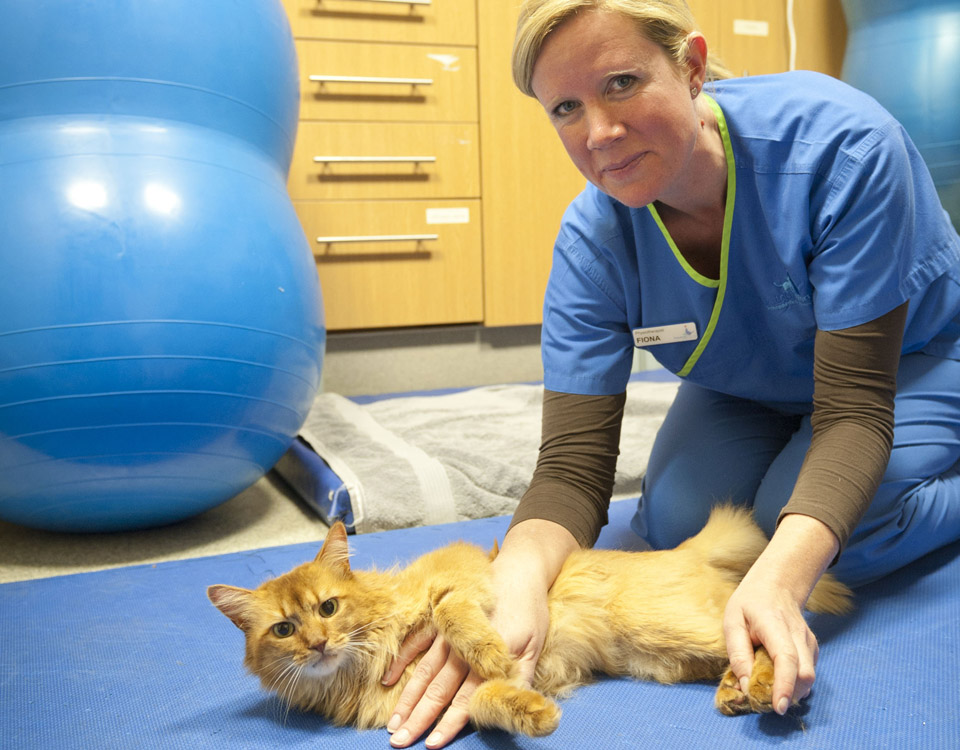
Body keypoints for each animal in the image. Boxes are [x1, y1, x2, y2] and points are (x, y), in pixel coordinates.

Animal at [208, 508, 848, 736]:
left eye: (328, 608)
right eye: (283, 631)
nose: (318, 644)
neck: (365, 662)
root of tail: (687, 549)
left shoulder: (464, 573)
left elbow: (451, 611)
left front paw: (488, 651)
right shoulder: (459, 699)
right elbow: (486, 701)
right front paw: (532, 714)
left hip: (676, 628)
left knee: (779, 639)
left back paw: (762, 683)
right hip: (667, 659)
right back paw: (735, 690)